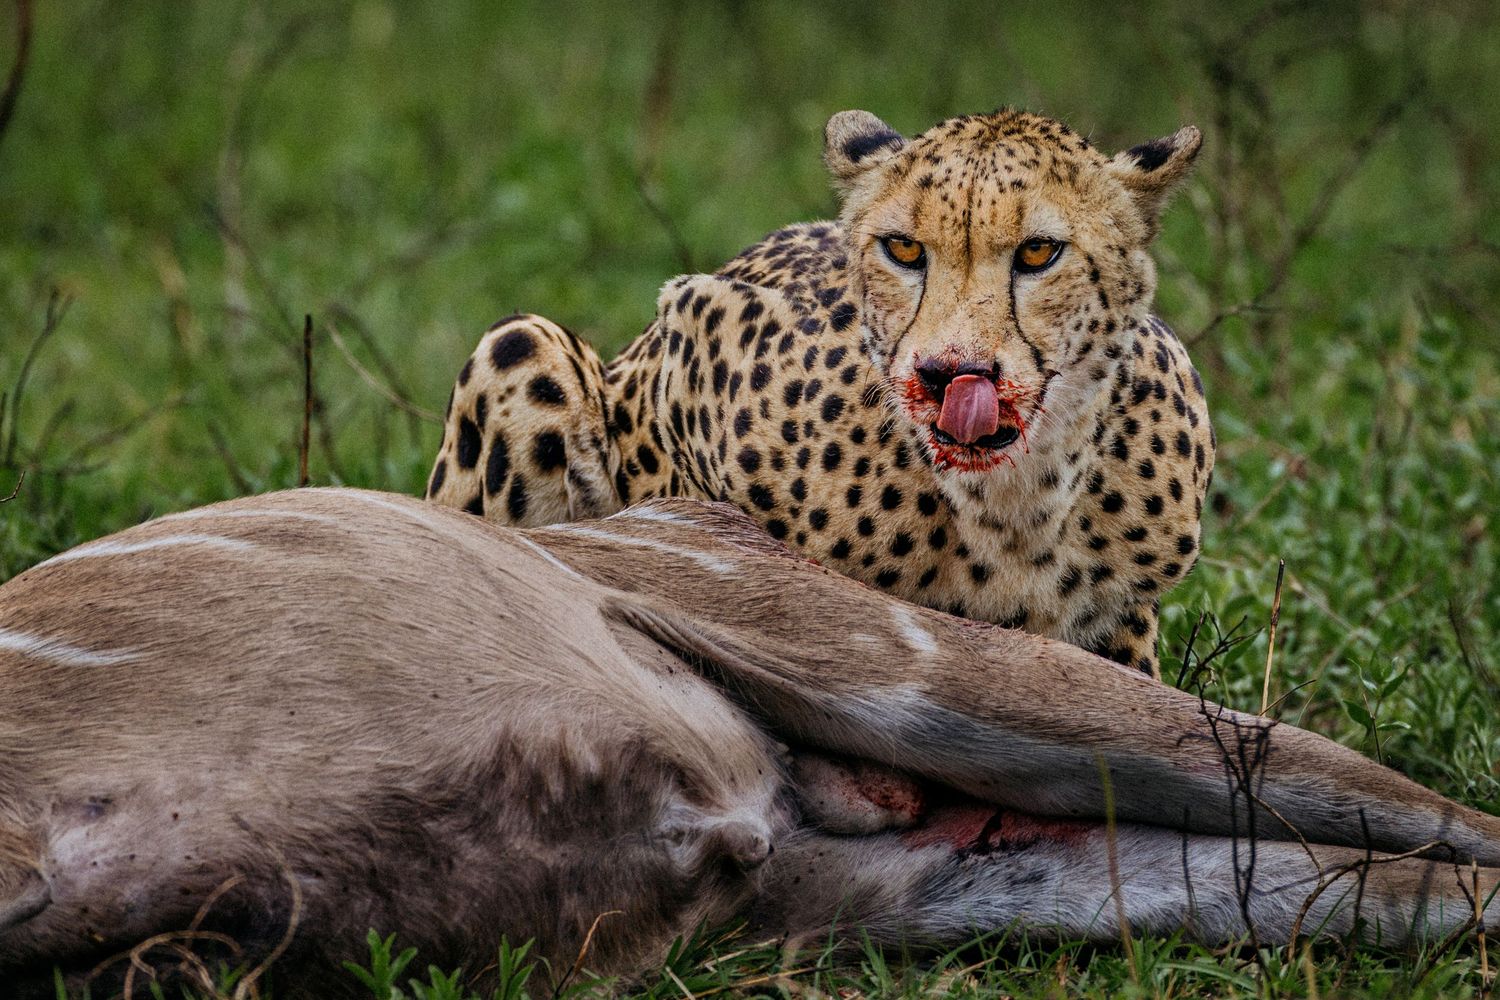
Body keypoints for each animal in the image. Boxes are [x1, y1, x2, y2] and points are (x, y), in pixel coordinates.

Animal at [426, 107, 1215, 677]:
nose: (948, 374)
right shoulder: (692, 329)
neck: (1014, 506)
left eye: (1039, 252)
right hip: (521, 344)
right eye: (903, 249)